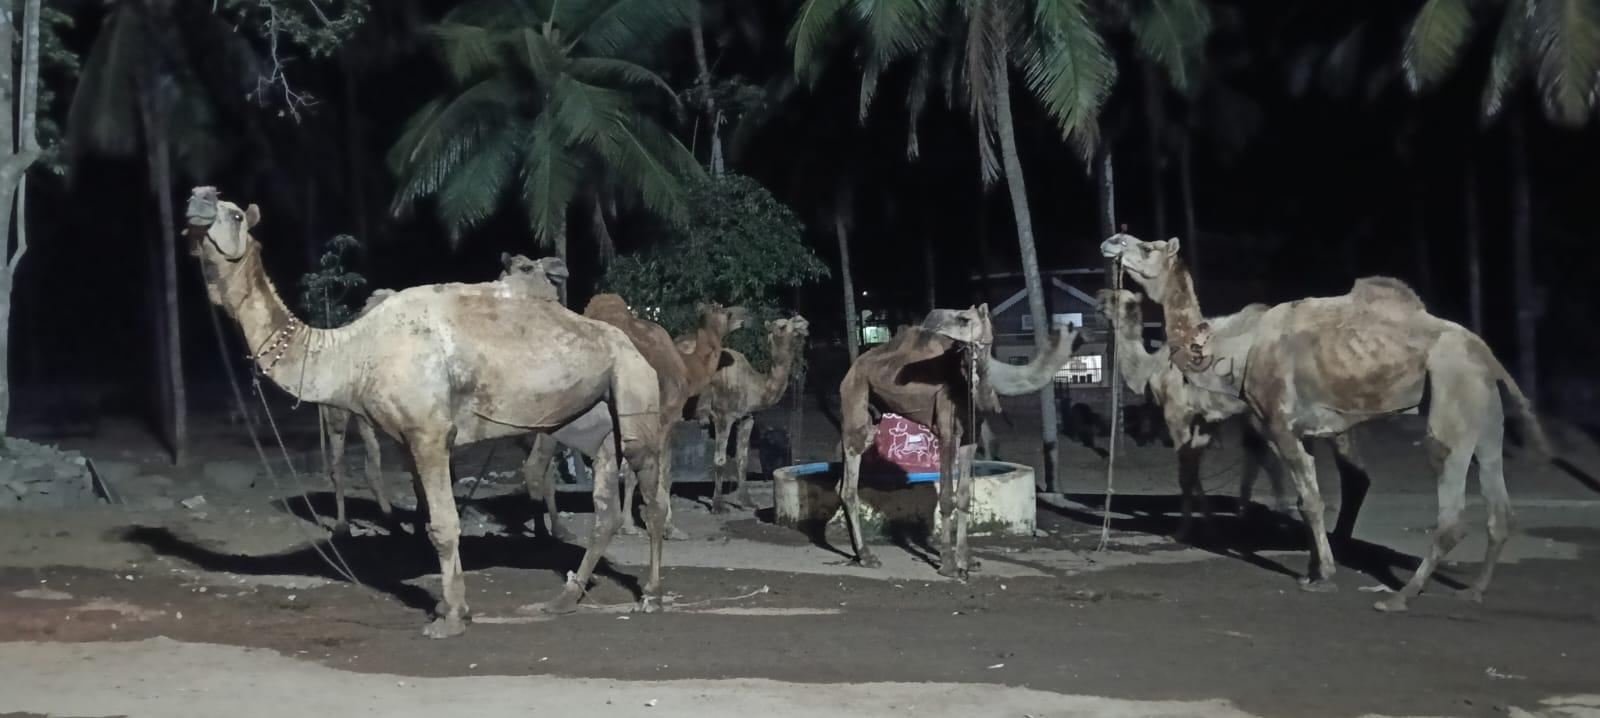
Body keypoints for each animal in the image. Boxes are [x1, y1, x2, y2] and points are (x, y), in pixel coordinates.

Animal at [186, 187, 670, 637]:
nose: (197, 200)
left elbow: (443, 525)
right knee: (605, 510)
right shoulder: (408, 439)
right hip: (593, 420)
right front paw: (447, 606)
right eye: (199, 198)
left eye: (234, 213)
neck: (353, 353)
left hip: (633, 389)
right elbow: (429, 517)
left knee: (651, 494)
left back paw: (650, 593)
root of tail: (632, 346)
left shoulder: (430, 434)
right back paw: (564, 599)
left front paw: (451, 617)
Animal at [694, 315, 811, 514]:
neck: (751, 385)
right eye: (782, 326)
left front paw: (746, 502)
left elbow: (743, 460)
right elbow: (719, 460)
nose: (802, 321)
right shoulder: (722, 416)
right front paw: (718, 506)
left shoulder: (746, 418)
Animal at [837, 305, 1078, 578]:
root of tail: (852, 368)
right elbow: (946, 498)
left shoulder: (970, 438)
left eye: (964, 319)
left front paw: (967, 560)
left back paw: (859, 554)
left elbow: (963, 496)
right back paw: (867, 556)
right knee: (851, 468)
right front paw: (949, 565)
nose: (931, 320)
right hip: (855, 395)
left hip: (874, 411)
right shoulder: (947, 430)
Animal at [1101, 232, 1549, 611]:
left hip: (1451, 394)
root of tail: (1486, 352)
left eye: (1147, 246)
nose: (1112, 241)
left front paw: (1323, 576)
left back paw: (1399, 597)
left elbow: (1309, 501)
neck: (1234, 349)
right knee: (1498, 506)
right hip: (1485, 414)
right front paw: (1313, 568)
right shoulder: (1296, 427)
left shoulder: (1275, 422)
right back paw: (1472, 590)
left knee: (1449, 506)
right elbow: (1302, 496)